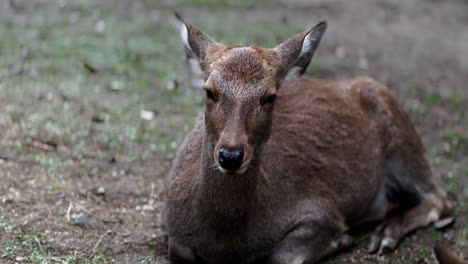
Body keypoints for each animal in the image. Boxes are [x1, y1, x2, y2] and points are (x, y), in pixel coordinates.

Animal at [163, 12, 456, 264]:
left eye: (270, 97)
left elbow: (283, 256)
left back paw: (385, 235)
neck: (225, 242)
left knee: (442, 198)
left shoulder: (320, 209)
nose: (231, 156)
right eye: (209, 91)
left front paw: (341, 240)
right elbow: (178, 250)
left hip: (403, 136)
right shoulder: (168, 224)